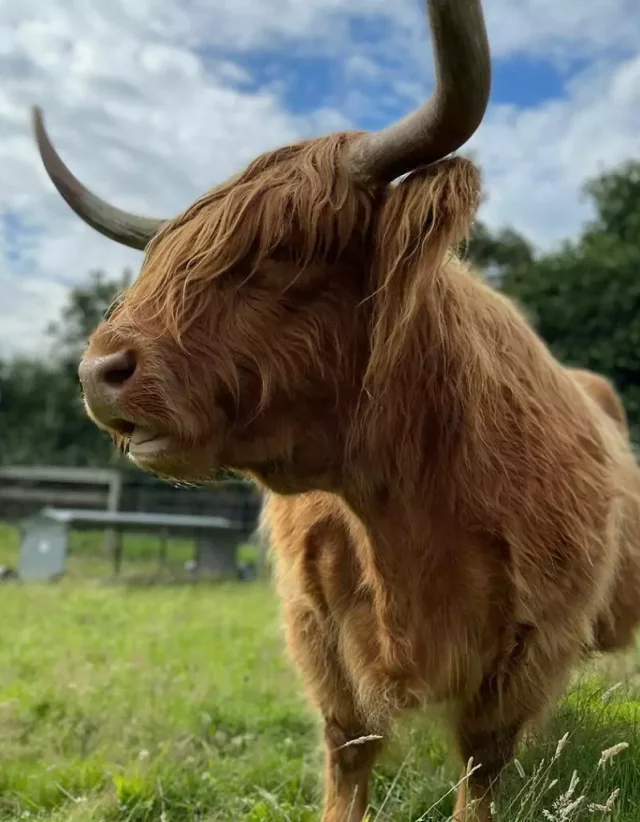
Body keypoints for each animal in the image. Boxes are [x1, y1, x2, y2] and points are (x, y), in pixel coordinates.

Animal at [30, 0, 640, 818]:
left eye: (287, 251)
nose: (99, 372)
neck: (400, 506)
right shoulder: (315, 624)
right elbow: (346, 747)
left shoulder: (532, 635)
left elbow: (484, 763)